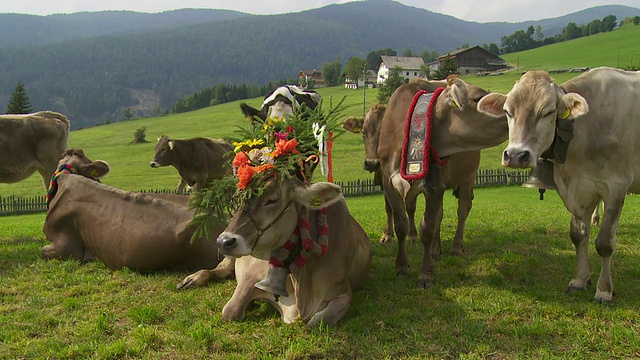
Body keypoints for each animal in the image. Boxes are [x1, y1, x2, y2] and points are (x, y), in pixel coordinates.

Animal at [342, 101, 478, 262]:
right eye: (363, 132)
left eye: (383, 132)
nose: (372, 163)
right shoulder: (388, 182)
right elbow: (392, 207)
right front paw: (388, 235)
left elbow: (413, 208)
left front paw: (412, 235)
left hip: (468, 177)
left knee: (463, 208)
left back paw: (456, 247)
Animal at [376, 77, 510, 288]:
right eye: (478, 97)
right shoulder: (390, 183)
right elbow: (402, 225)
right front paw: (402, 266)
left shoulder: (435, 186)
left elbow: (428, 228)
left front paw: (426, 274)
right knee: (441, 214)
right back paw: (435, 251)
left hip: (468, 177)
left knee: (462, 210)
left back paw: (456, 247)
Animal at [478, 66, 640, 302]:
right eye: (508, 111)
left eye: (548, 111)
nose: (516, 155)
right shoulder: (582, 189)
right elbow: (578, 236)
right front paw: (580, 280)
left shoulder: (616, 186)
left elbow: (605, 243)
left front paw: (604, 290)